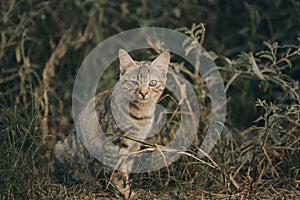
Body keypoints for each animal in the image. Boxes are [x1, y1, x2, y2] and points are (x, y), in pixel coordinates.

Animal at [54, 48, 170, 198]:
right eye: (134, 83)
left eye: (152, 83)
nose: (143, 93)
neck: (141, 115)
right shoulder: (115, 143)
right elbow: (119, 172)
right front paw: (124, 192)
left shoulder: (134, 145)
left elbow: (127, 167)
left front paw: (127, 188)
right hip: (62, 149)